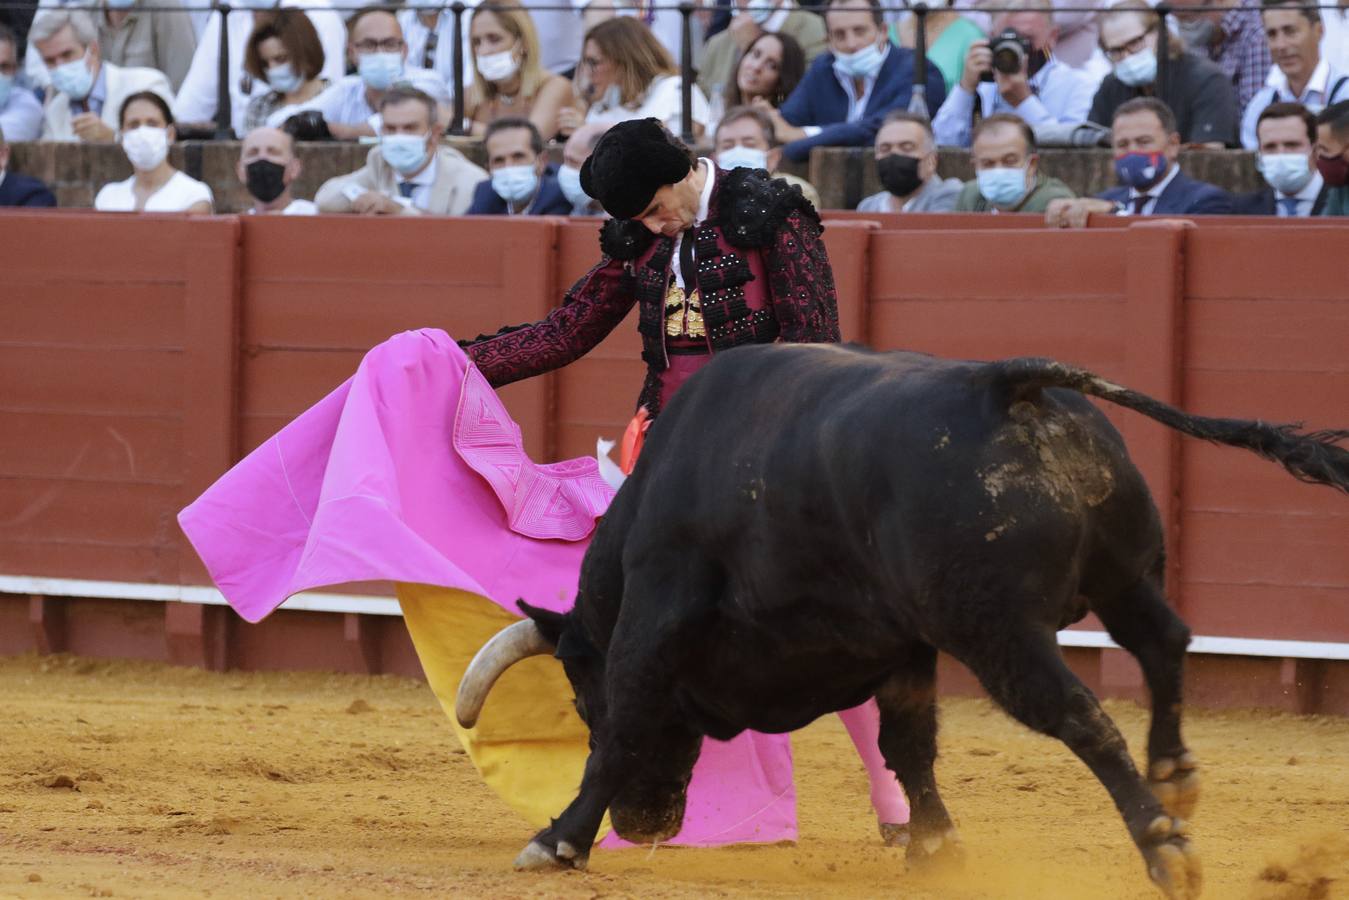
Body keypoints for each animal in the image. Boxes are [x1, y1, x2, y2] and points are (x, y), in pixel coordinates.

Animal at [455, 341, 1349, 895]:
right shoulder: (904, 644)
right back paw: (1174, 775)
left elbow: (625, 725)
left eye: (579, 698)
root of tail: (1004, 385)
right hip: (1123, 574)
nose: (645, 825)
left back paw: (1163, 846)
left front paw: (557, 840)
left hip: (997, 630)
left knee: (1081, 713)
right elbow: (907, 742)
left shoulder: (654, 614)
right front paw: (936, 846)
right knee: (1164, 641)